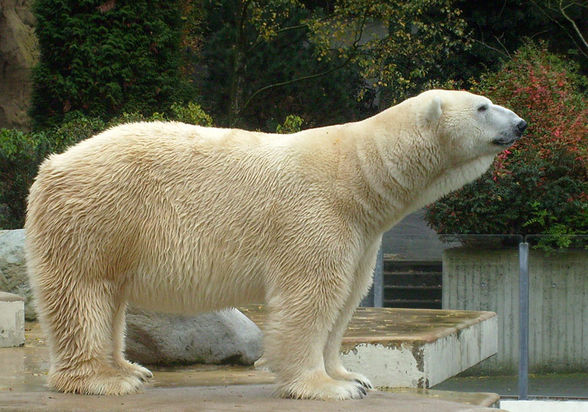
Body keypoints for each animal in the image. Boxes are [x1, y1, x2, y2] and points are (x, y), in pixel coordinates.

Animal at [25, 89, 524, 400]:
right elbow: (311, 297)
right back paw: (103, 380)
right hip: (100, 214)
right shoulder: (316, 216)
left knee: (111, 297)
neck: (358, 176)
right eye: (483, 106)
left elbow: (346, 299)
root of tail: (53, 163)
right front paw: (326, 387)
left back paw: (129, 368)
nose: (520, 123)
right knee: (84, 292)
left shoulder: (361, 235)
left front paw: (352, 376)